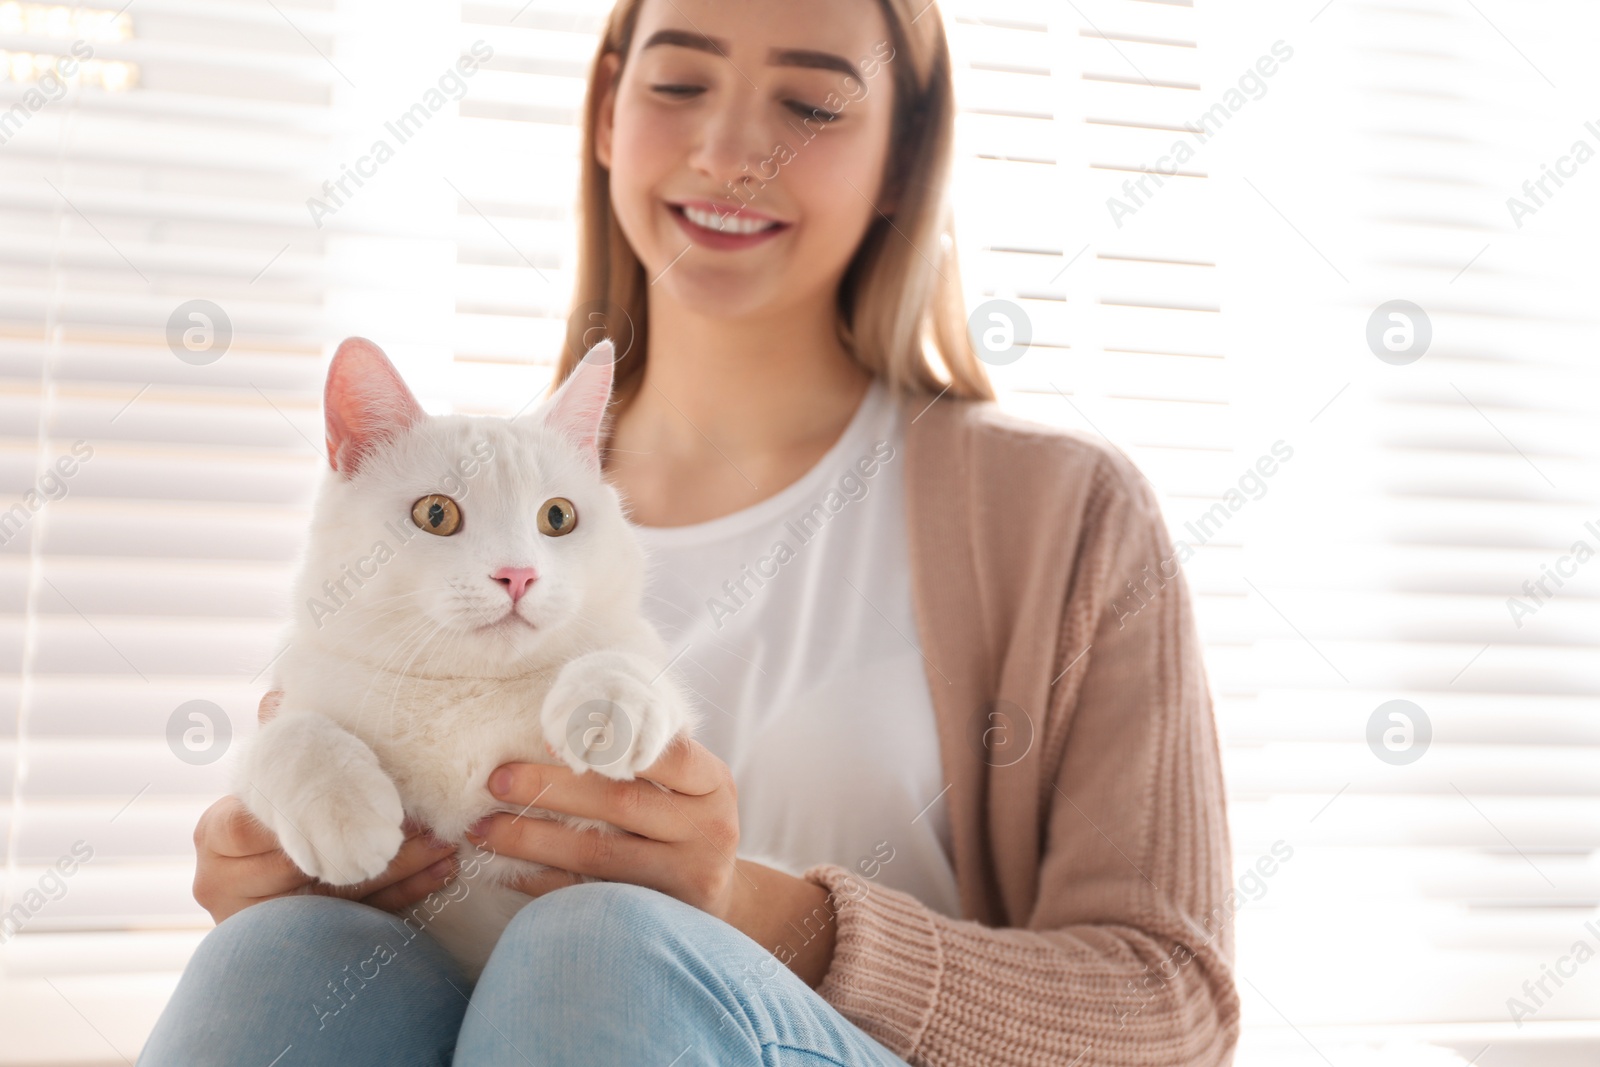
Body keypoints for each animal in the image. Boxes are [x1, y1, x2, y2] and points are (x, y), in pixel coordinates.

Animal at [230, 337, 694, 979]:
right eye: (436, 514)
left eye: (558, 516)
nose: (517, 574)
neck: (464, 692)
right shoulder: (295, 692)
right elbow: (288, 735)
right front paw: (344, 817)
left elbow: (630, 659)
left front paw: (607, 705)